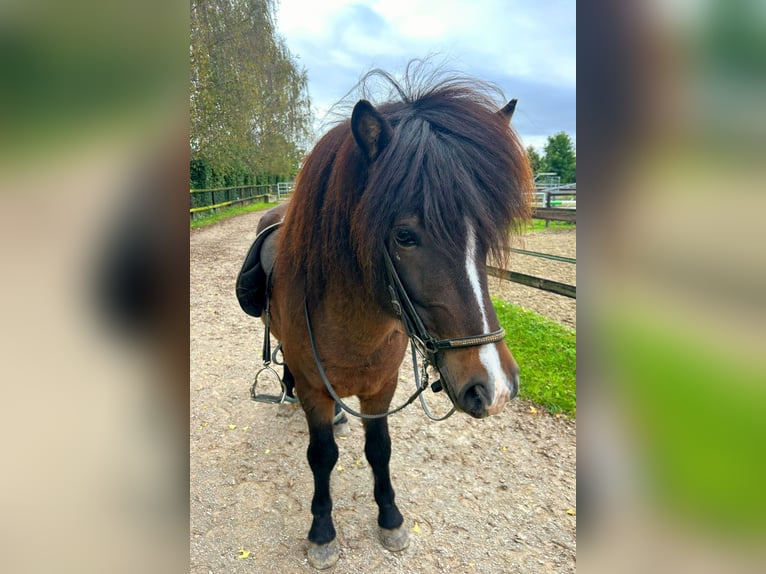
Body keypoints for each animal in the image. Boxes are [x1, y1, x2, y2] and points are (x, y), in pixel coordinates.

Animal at [243, 70, 532, 568]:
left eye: (487, 230)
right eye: (404, 235)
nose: (493, 387)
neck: (354, 326)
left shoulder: (382, 387)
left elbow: (379, 449)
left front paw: (391, 519)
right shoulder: (317, 388)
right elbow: (321, 455)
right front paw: (322, 531)